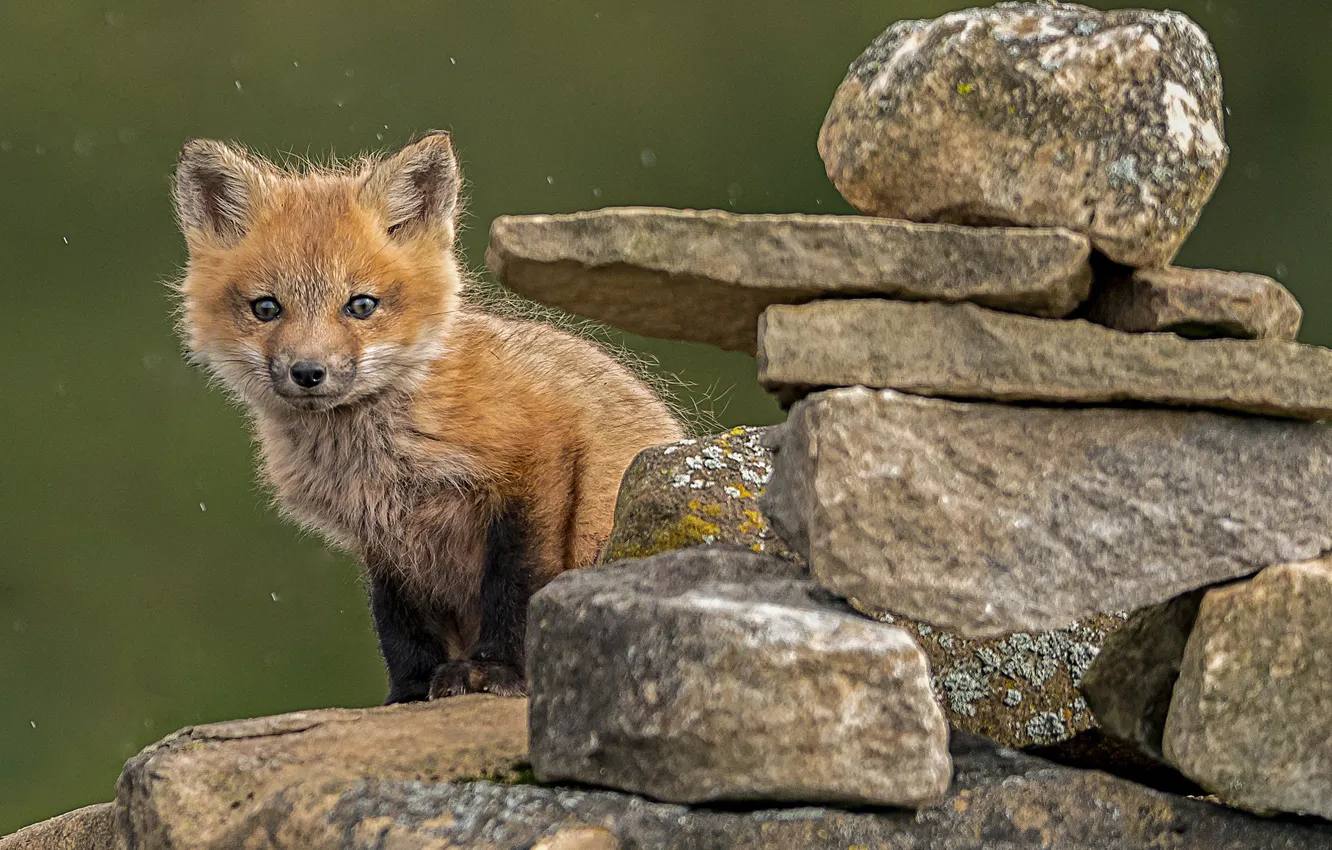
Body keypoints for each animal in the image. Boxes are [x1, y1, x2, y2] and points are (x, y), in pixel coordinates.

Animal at [170, 133, 681, 703]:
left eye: (361, 305)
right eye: (266, 308)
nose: (308, 372)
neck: (378, 458)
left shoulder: (538, 463)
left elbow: (516, 586)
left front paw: (499, 670)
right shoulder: (383, 537)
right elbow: (399, 624)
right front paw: (412, 689)